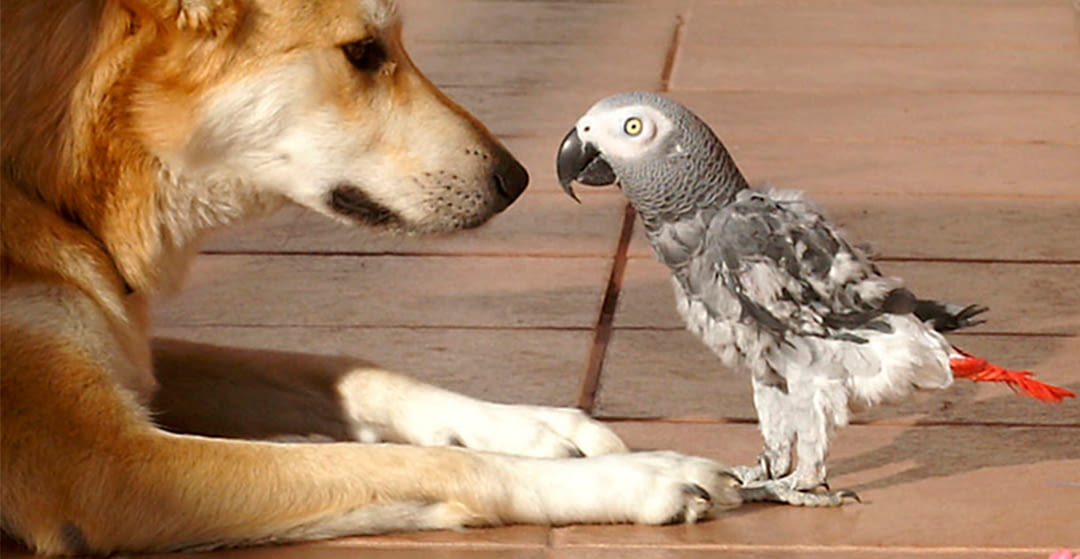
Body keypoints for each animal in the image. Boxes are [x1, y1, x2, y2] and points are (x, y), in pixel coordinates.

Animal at [0, 0, 738, 552]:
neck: (47, 177)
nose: (520, 179)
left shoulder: (142, 360)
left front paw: (539, 426)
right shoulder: (105, 465)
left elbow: (349, 370)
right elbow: (436, 464)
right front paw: (641, 475)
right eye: (361, 52)